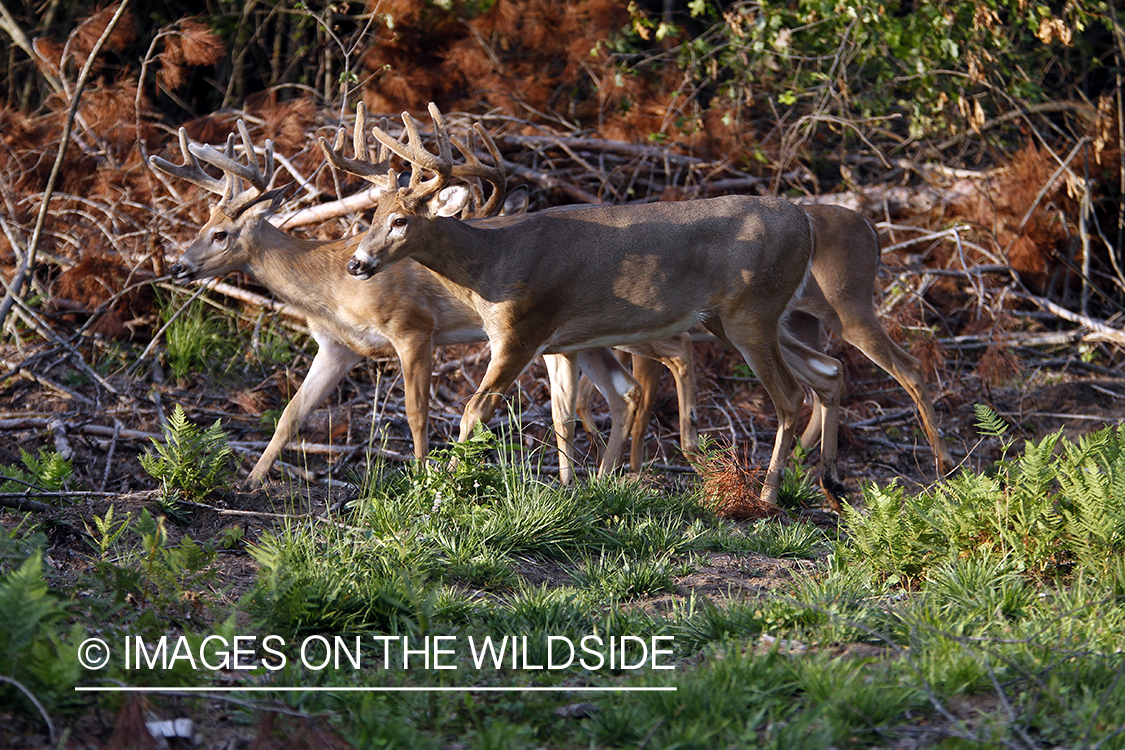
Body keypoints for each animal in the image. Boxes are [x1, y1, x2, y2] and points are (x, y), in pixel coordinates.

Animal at [142, 111, 684, 488]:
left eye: (221, 233)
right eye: (202, 225)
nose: (178, 267)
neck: (332, 287)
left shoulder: (413, 328)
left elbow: (417, 413)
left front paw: (422, 478)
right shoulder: (338, 346)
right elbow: (291, 414)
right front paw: (250, 481)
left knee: (662, 361)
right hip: (572, 339)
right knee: (611, 393)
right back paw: (600, 479)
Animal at [342, 102, 846, 508]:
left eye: (400, 220)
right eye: (372, 216)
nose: (357, 263)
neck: (492, 264)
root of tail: (805, 222)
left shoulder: (521, 331)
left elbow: (475, 410)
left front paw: (442, 490)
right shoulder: (559, 342)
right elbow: (560, 412)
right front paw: (571, 487)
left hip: (751, 312)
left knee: (790, 394)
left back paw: (768, 495)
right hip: (740, 318)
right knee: (828, 370)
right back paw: (831, 485)